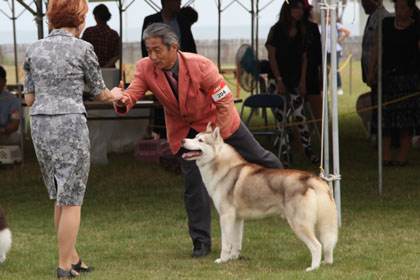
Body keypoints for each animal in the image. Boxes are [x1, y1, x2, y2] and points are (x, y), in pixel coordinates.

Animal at [180, 123, 338, 272]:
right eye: (194, 136)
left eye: (200, 140)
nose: (182, 140)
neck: (224, 168)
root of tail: (310, 178)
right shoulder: (238, 218)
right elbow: (236, 243)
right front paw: (233, 258)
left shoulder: (226, 216)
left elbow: (226, 243)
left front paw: (223, 260)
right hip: (320, 224)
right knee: (327, 244)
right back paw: (326, 263)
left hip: (299, 224)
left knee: (317, 245)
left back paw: (313, 268)